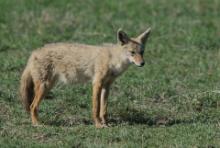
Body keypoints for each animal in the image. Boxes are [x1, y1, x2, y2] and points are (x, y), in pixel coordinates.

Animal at [19, 28, 151, 128]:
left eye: (142, 52)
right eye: (132, 52)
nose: (142, 63)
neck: (112, 60)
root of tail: (34, 53)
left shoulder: (106, 86)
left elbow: (104, 110)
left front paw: (106, 124)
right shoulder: (97, 83)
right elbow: (96, 108)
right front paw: (98, 125)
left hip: (48, 86)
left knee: (32, 106)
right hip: (44, 87)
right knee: (32, 106)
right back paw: (37, 124)